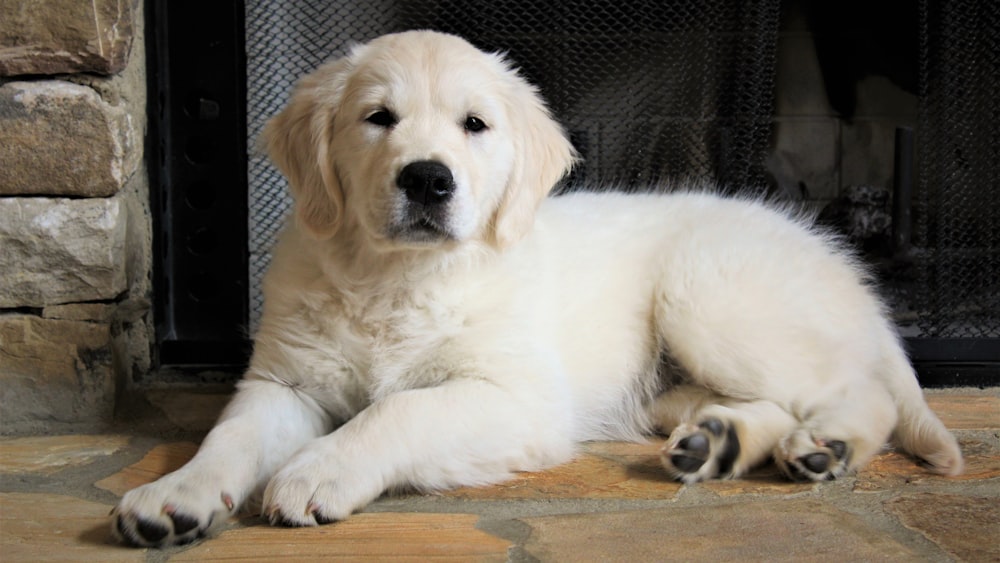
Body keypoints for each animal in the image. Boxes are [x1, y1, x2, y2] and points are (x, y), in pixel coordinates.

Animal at [113, 29, 964, 548]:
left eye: (475, 125)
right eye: (377, 118)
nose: (428, 179)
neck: (395, 276)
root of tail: (838, 260)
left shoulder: (516, 395)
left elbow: (398, 408)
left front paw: (319, 468)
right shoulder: (282, 382)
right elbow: (229, 436)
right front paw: (175, 493)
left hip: (711, 297)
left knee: (861, 391)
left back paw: (827, 444)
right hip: (680, 377)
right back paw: (716, 441)